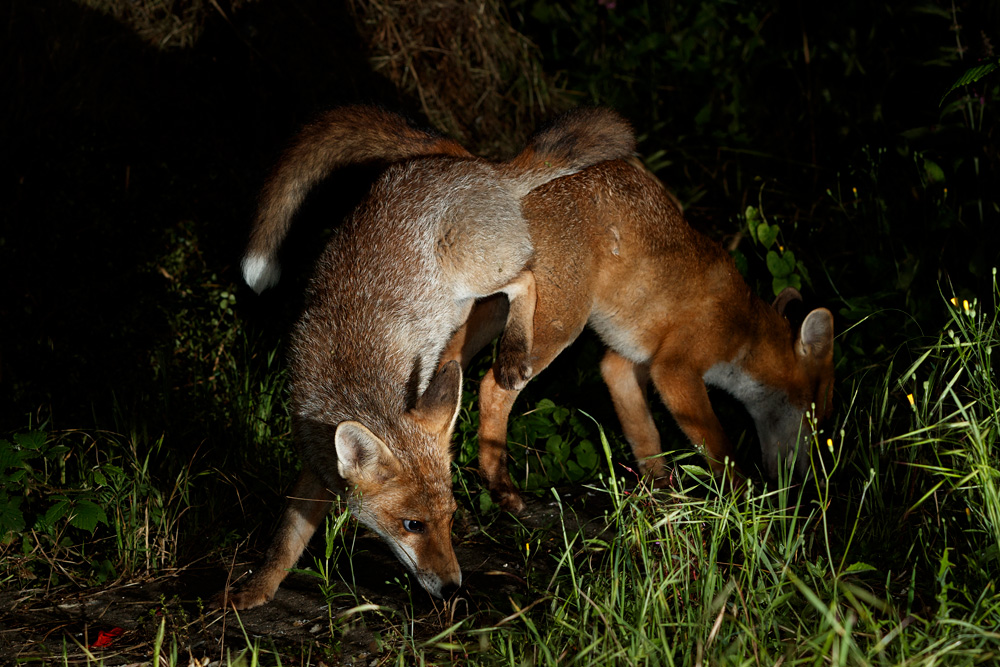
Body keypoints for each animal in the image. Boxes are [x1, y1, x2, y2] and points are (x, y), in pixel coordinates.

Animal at [213, 105, 636, 609]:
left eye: (451, 517)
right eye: (413, 525)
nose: (454, 588)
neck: (353, 380)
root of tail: (479, 166)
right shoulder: (316, 463)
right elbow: (285, 541)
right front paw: (253, 592)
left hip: (471, 266)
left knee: (527, 278)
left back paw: (515, 352)